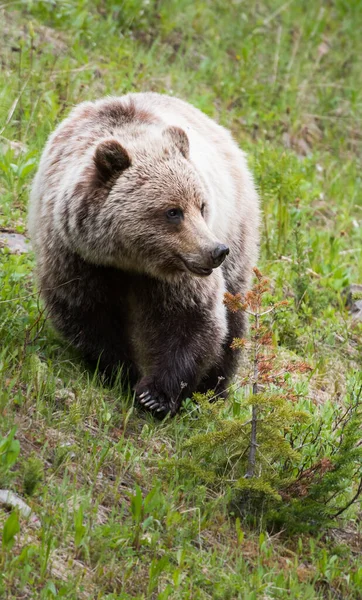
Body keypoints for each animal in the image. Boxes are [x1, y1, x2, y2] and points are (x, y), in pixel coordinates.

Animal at [28, 94, 260, 414]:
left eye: (201, 205)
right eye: (173, 211)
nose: (215, 251)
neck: (126, 261)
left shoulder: (178, 271)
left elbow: (192, 316)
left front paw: (157, 395)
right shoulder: (73, 255)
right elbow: (86, 314)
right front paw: (121, 372)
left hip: (237, 228)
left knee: (234, 310)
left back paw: (215, 388)